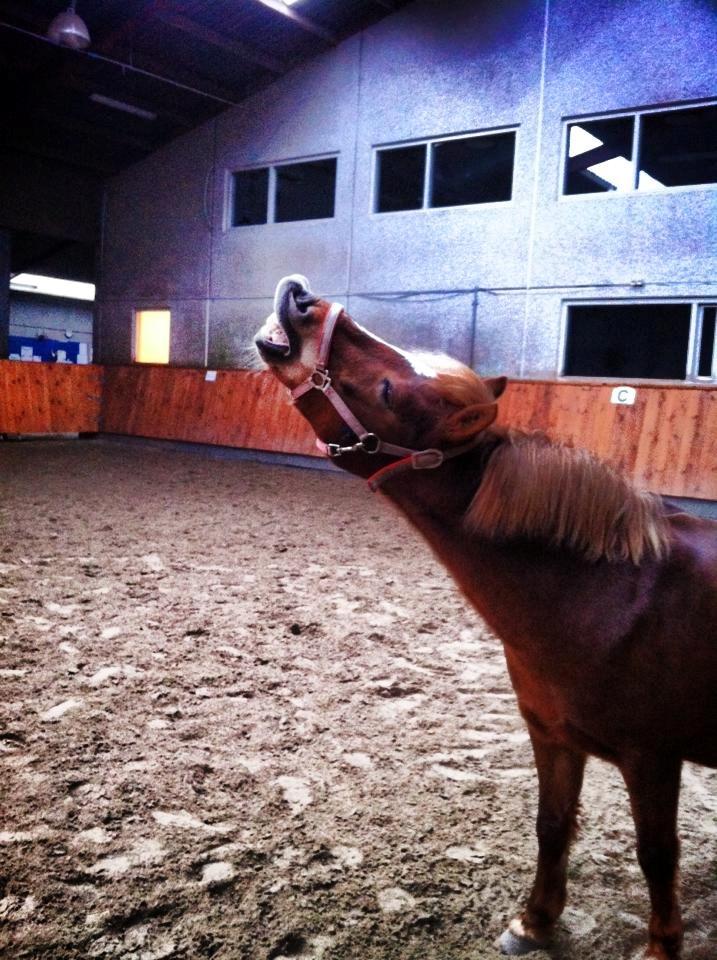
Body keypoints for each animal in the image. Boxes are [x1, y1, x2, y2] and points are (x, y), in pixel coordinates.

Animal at [255, 274, 717, 960]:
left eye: (388, 391)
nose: (302, 300)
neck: (610, 594)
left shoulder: (653, 758)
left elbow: (657, 855)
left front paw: (660, 947)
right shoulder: (552, 736)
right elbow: (553, 824)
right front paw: (534, 922)